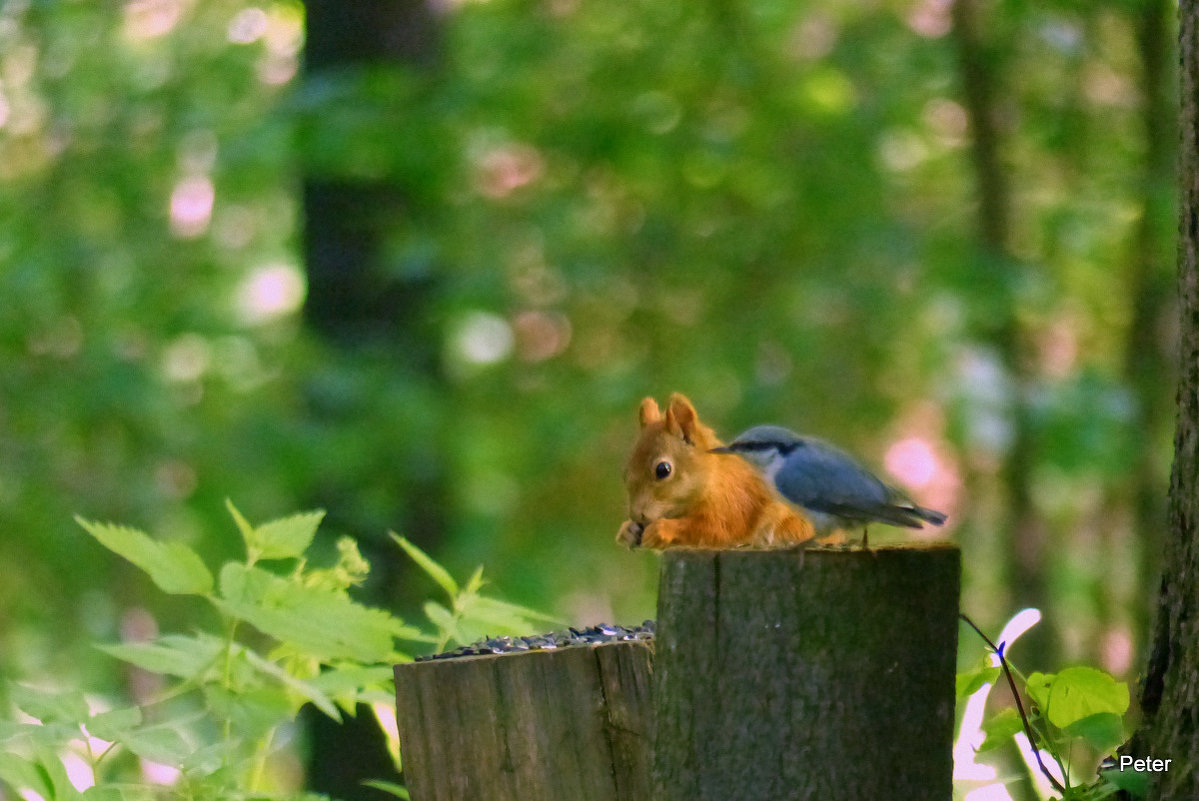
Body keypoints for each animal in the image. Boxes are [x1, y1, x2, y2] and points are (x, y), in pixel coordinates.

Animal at [618, 393, 815, 551]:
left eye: (663, 470)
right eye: (625, 472)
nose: (637, 515)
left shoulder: (734, 502)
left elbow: (717, 529)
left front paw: (662, 529)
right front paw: (627, 530)